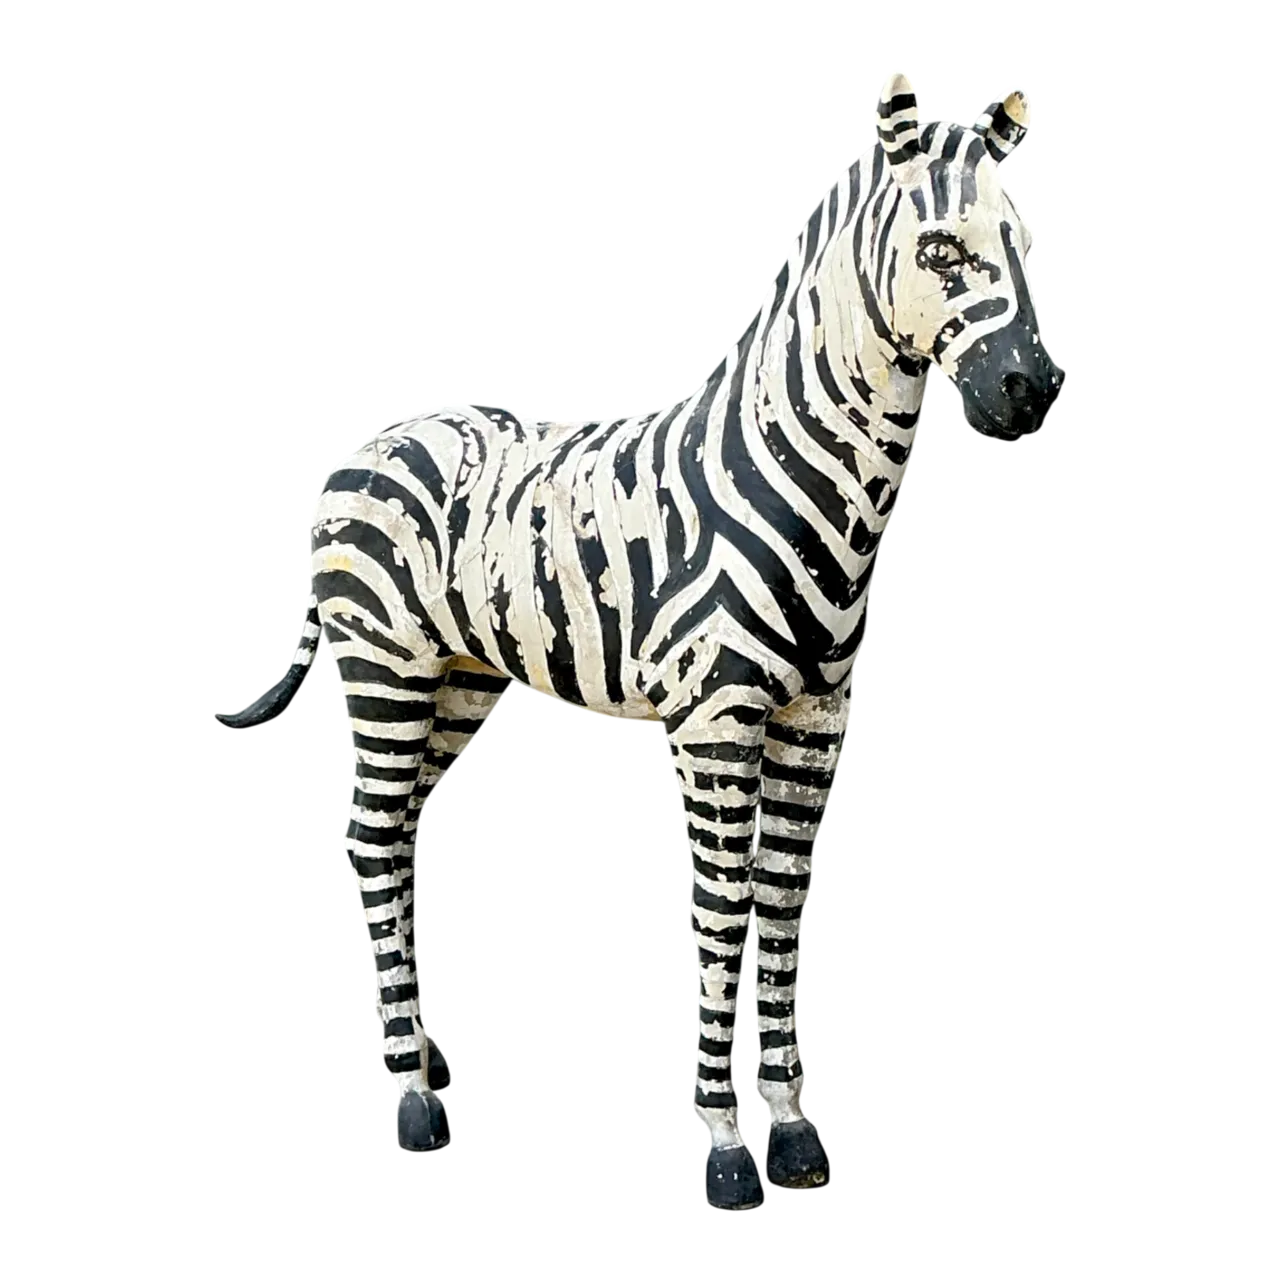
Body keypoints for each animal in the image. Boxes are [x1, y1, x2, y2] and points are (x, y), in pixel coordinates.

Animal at [211, 69, 1059, 1208]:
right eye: (939, 250)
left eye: (1025, 244)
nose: (1031, 390)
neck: (808, 485)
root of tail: (368, 443)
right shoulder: (713, 723)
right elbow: (723, 911)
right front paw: (727, 1143)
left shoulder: (817, 721)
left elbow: (779, 911)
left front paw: (793, 1130)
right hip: (382, 675)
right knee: (374, 835)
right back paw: (408, 1098)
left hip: (455, 687)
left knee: (383, 835)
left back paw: (425, 1054)